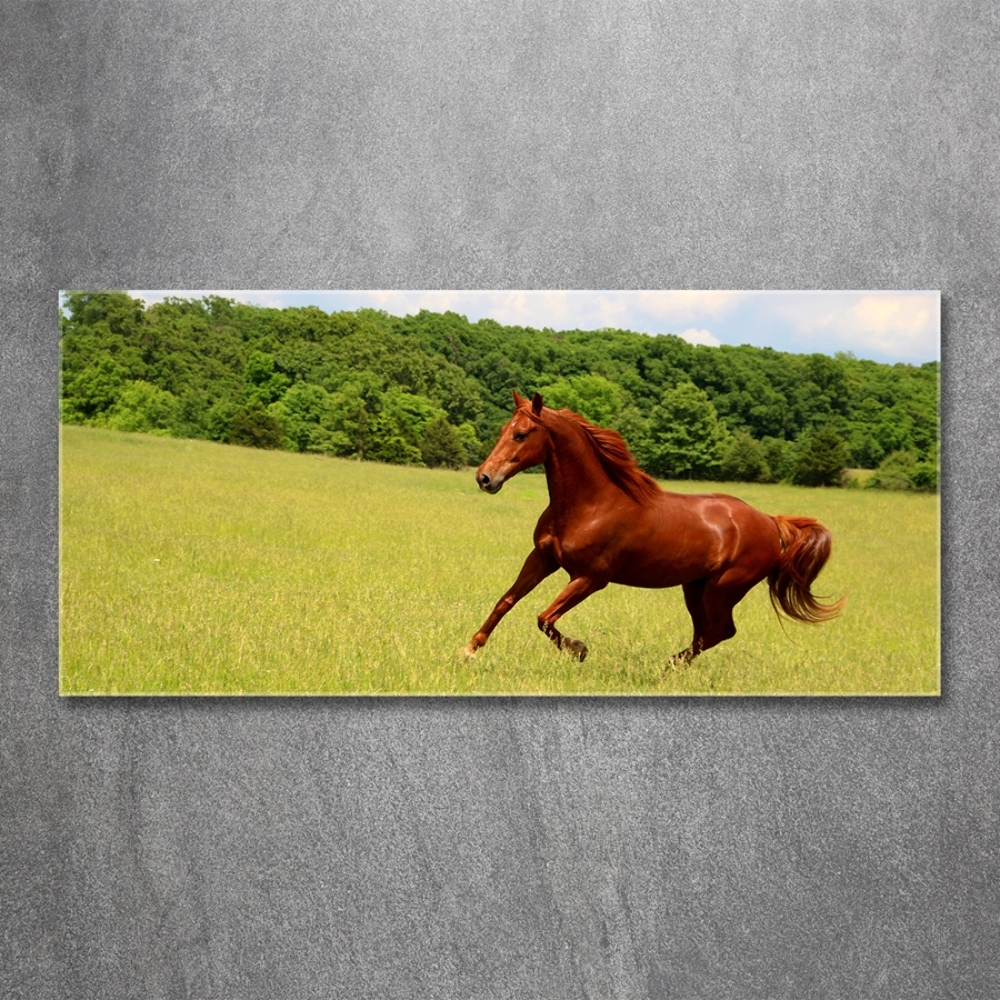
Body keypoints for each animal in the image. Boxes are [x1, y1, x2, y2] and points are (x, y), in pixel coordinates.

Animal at [464, 390, 840, 664]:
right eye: (503, 430)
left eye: (521, 434)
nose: (484, 478)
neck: (590, 505)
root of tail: (770, 522)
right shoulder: (542, 559)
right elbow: (506, 600)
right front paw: (470, 648)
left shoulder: (590, 578)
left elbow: (544, 617)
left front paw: (579, 649)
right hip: (695, 588)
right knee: (706, 632)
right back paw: (671, 666)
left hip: (723, 589)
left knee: (721, 631)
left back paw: (668, 665)